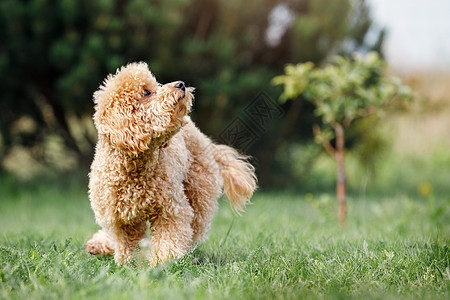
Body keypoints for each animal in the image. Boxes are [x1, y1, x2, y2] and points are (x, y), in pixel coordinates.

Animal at [86, 62, 256, 266]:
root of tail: (204, 139)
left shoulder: (170, 210)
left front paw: (163, 263)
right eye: (146, 92)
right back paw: (99, 244)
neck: (135, 170)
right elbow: (127, 245)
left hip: (199, 191)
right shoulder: (122, 221)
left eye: (156, 85)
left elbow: (169, 237)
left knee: (194, 229)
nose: (181, 84)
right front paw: (130, 264)